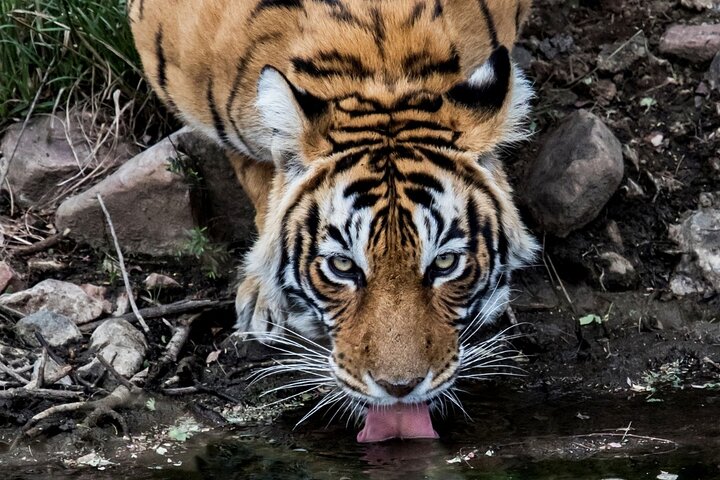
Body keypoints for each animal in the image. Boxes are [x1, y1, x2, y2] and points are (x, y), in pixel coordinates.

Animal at [129, 0, 538, 440]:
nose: (399, 388)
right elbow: (259, 181)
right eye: (342, 266)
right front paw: (262, 296)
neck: (380, 68)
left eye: (446, 262)